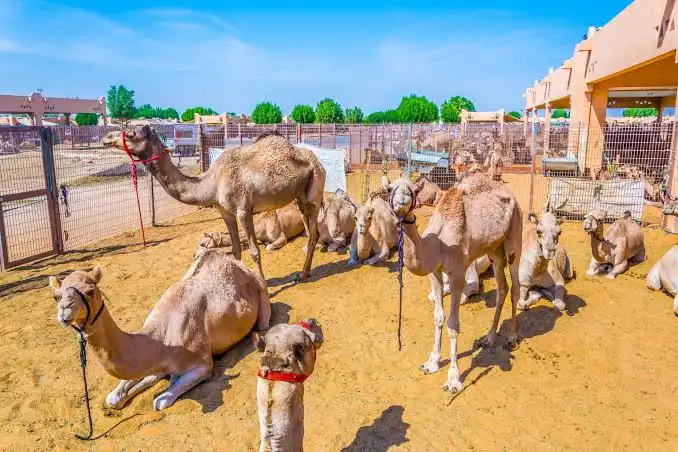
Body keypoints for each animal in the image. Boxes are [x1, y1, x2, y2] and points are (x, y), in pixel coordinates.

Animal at [49, 249, 271, 411]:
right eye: (56, 296)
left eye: (90, 291)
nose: (64, 311)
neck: (161, 340)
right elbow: (114, 397)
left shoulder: (202, 364)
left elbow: (161, 401)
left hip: (261, 294)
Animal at [103, 126, 326, 280]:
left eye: (131, 134)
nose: (106, 138)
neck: (212, 182)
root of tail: (315, 159)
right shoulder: (225, 212)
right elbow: (236, 251)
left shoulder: (243, 210)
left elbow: (254, 251)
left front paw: (263, 287)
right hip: (299, 197)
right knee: (309, 229)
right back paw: (304, 272)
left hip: (315, 187)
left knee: (314, 231)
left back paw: (303, 275)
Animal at [383, 173, 522, 392]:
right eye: (389, 189)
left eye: (413, 190)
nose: (403, 197)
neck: (437, 245)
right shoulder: (435, 273)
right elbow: (438, 317)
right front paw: (431, 363)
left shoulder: (457, 274)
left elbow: (453, 324)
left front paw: (453, 379)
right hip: (494, 249)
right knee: (502, 288)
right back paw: (489, 338)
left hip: (515, 235)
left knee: (515, 287)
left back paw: (511, 339)